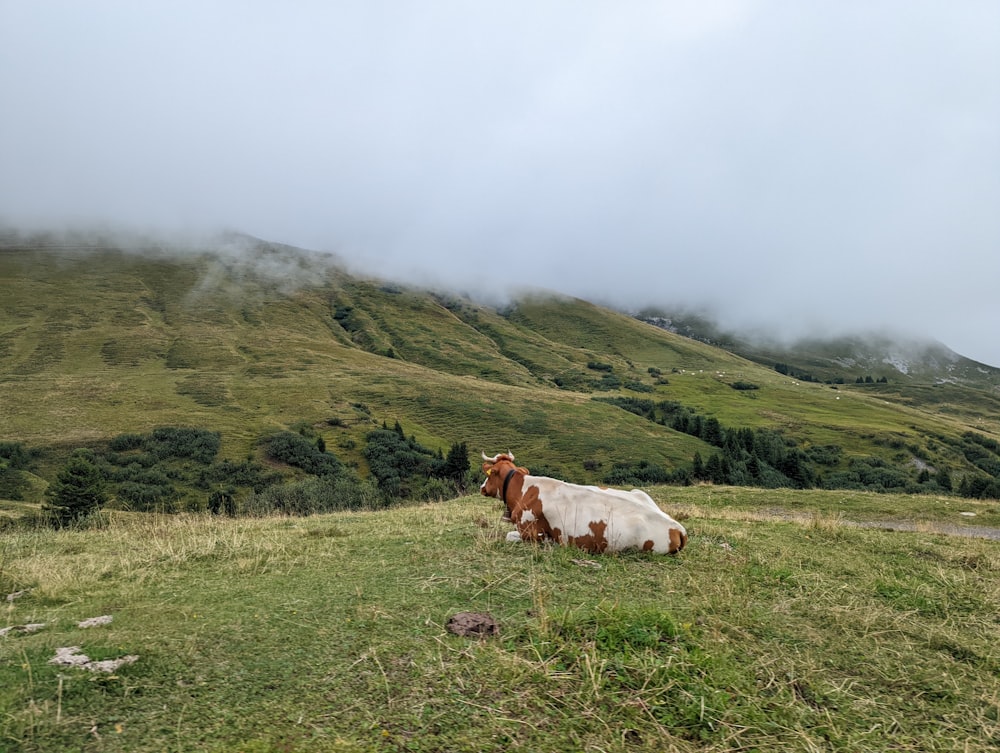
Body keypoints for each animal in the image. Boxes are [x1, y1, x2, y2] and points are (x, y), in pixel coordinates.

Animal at [478, 450, 688, 556]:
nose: (481, 487)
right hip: (640, 492)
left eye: (490, 474)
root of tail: (677, 528)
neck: (524, 490)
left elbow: (510, 536)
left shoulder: (530, 533)